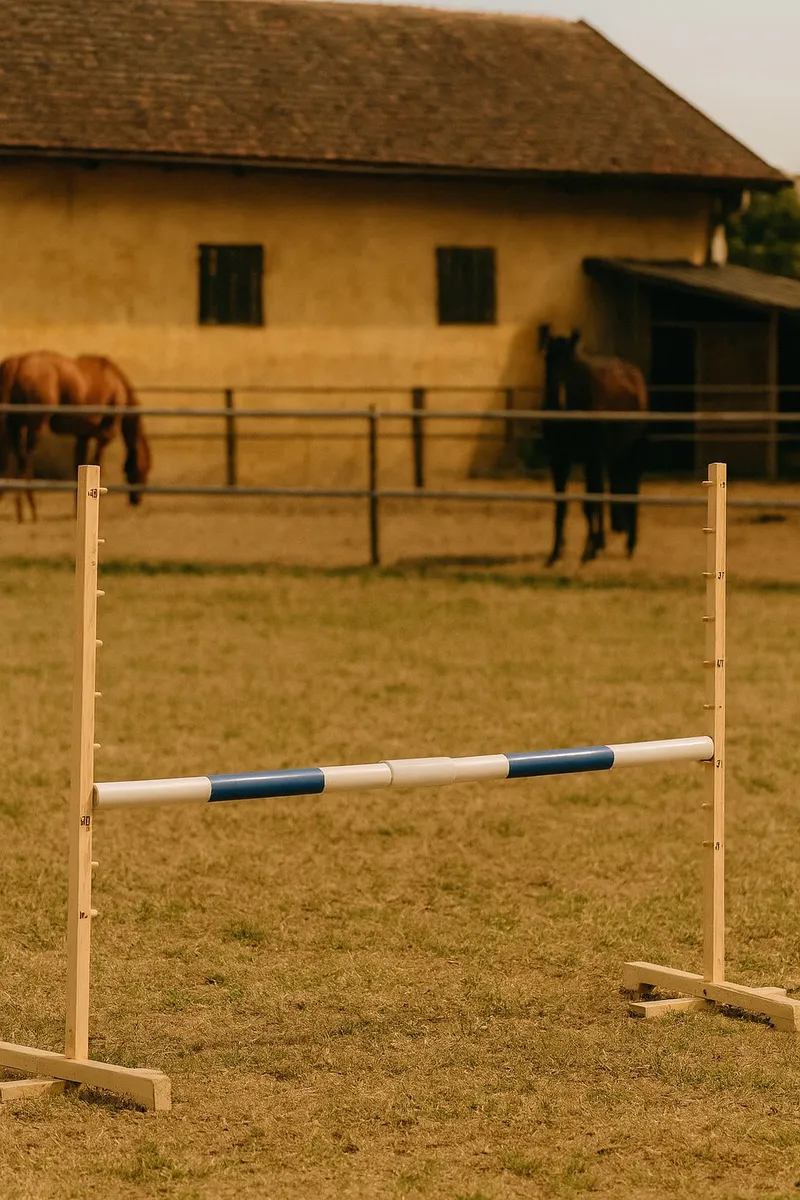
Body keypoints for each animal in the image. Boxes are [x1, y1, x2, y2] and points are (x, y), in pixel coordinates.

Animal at [0, 350, 151, 521]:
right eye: (145, 468)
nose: (136, 499)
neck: (115, 383)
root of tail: (18, 362)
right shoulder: (104, 435)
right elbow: (96, 461)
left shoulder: (83, 435)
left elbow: (79, 463)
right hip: (35, 425)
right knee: (26, 459)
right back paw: (31, 509)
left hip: (15, 426)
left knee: (19, 457)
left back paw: (21, 509)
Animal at [537, 326, 648, 566]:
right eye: (547, 361)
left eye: (570, 364)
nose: (557, 402)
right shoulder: (559, 459)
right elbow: (562, 506)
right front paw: (555, 552)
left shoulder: (593, 459)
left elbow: (590, 503)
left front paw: (588, 551)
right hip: (612, 457)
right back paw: (604, 541)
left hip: (631, 452)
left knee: (631, 490)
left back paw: (630, 544)